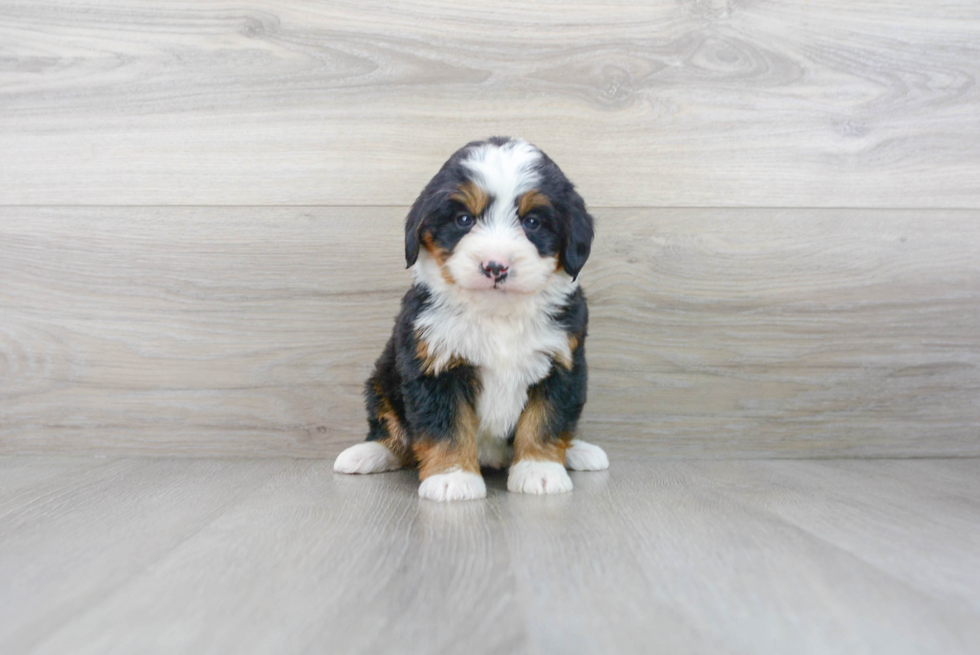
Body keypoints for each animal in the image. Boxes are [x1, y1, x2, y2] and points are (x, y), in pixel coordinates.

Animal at [334, 136, 604, 500]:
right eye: (464, 219)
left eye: (532, 222)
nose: (495, 266)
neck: (496, 313)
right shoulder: (433, 366)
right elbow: (446, 426)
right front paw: (452, 478)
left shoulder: (562, 363)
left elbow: (546, 420)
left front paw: (540, 470)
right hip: (382, 378)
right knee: (390, 427)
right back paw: (368, 453)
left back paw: (579, 451)